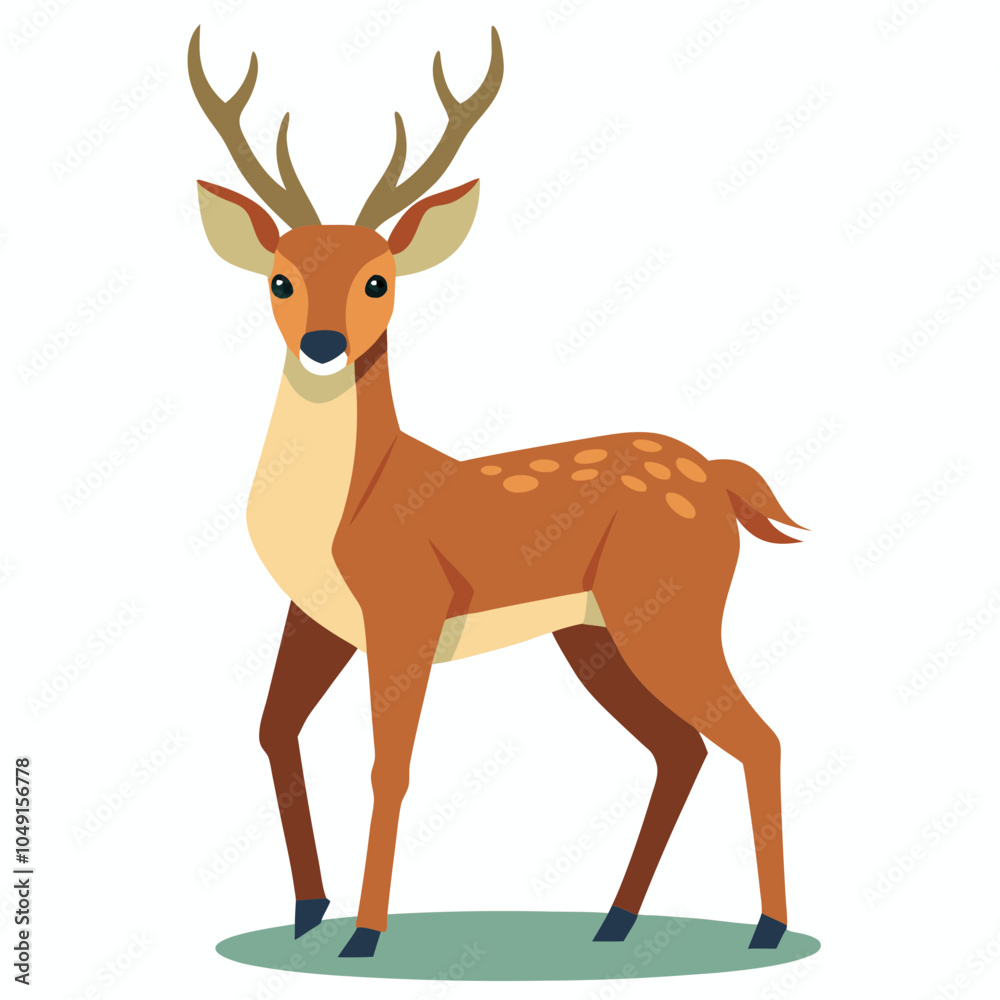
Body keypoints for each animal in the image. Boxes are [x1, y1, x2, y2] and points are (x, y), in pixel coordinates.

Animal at [188, 24, 805, 959]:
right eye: (280, 280)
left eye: (380, 280)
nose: (325, 345)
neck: (351, 505)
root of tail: (720, 477)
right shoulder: (319, 616)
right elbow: (273, 730)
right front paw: (308, 909)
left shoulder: (407, 607)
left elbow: (390, 765)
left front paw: (364, 934)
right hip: (595, 634)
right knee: (681, 749)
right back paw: (615, 923)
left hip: (671, 610)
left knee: (756, 736)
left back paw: (767, 929)